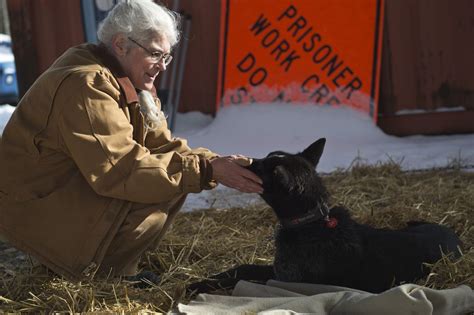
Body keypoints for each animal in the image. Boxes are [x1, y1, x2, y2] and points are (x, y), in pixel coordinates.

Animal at [190, 139, 462, 296]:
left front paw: (199, 285)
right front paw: (202, 281)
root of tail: (455, 238)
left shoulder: (285, 279)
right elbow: (242, 267)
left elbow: (246, 277)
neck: (311, 222)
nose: (242, 160)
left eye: (261, 167)